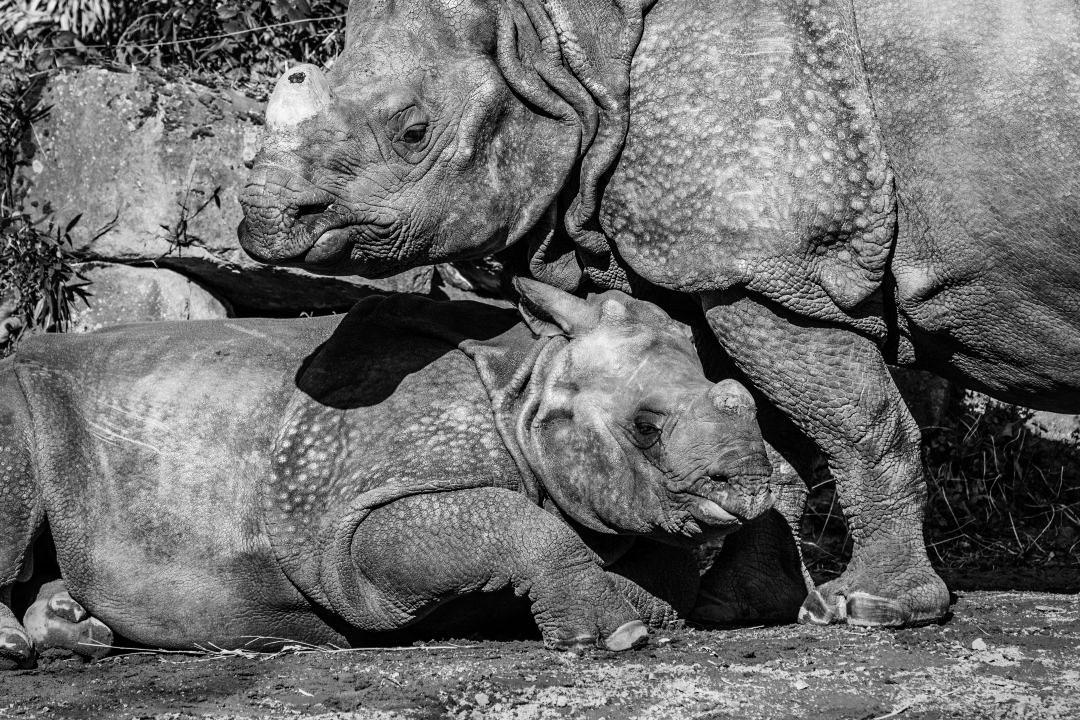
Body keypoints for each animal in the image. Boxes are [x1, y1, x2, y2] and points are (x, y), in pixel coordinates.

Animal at [0, 280, 777, 669]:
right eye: (645, 427)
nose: (751, 487)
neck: (533, 380)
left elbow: (661, 570)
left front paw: (636, 611)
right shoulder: (354, 514)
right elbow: (506, 522)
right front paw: (616, 637)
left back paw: (75, 632)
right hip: (18, 392)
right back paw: (19, 651)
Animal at [240, 0, 1080, 626]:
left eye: (413, 132)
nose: (260, 221)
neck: (566, 53)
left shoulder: (767, 264)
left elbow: (855, 422)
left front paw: (875, 609)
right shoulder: (720, 264)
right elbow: (763, 427)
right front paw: (740, 607)